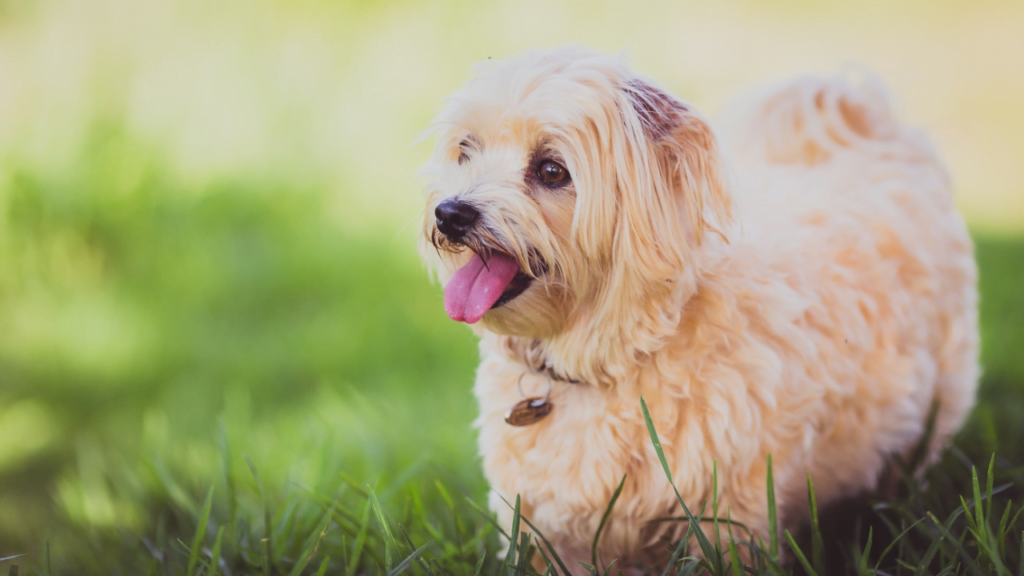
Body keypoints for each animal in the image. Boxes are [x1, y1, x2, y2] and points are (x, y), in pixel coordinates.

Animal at [417, 45, 983, 569]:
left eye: (552, 170)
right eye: (466, 150)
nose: (451, 213)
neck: (608, 359)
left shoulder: (727, 520)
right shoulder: (548, 532)